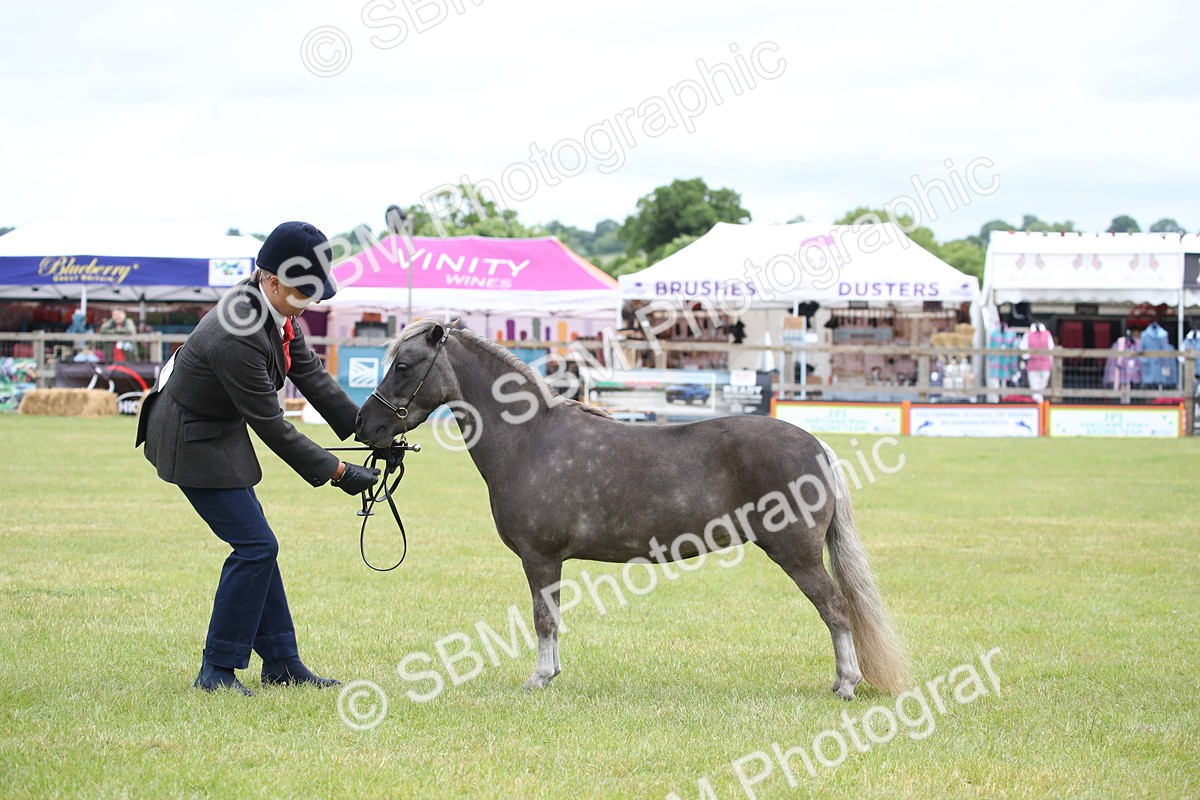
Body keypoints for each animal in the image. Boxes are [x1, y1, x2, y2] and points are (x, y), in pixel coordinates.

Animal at [356, 321, 909, 699]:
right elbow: (553, 616)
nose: (366, 426)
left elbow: (543, 618)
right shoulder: (549, 562)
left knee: (835, 609)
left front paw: (539, 678)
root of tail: (816, 444)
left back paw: (846, 683)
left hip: (796, 554)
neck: (530, 438)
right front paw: (551, 674)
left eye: (403, 365)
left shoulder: (539, 558)